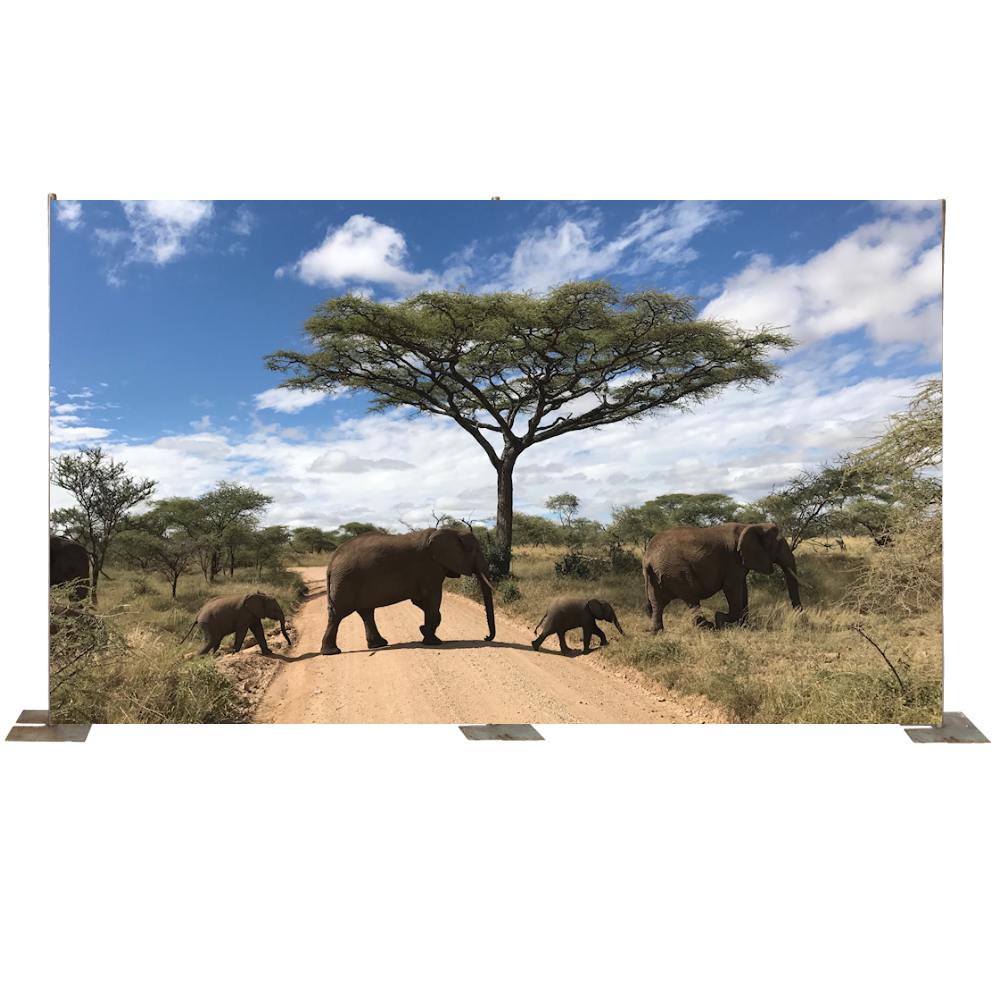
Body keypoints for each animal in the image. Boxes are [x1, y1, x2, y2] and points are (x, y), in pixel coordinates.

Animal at [320, 527, 496, 655]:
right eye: (477, 550)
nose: (486, 637)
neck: (452, 531)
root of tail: (332, 561)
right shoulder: (429, 567)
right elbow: (432, 599)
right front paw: (433, 641)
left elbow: (420, 601)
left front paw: (423, 630)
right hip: (346, 580)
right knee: (338, 614)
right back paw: (332, 652)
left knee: (366, 612)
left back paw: (378, 644)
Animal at [643, 522, 802, 631]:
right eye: (778, 545)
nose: (801, 620)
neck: (752, 525)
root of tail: (649, 557)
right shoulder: (734, 558)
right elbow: (732, 588)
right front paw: (720, 619)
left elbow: (742, 589)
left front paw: (745, 627)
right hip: (676, 571)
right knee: (692, 597)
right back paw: (708, 627)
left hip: (657, 575)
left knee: (657, 602)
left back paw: (657, 632)